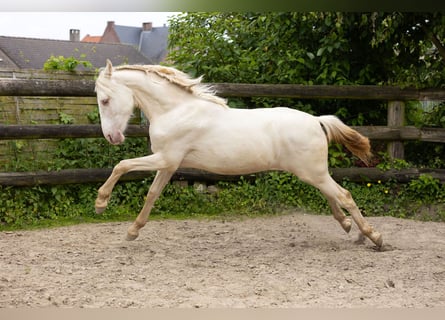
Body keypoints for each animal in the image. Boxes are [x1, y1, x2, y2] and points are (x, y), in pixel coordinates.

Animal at [94, 59, 382, 248]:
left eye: (105, 100)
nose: (112, 137)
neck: (176, 111)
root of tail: (316, 121)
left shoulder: (166, 158)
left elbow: (122, 165)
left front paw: (101, 203)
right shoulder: (169, 165)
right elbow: (152, 194)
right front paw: (132, 231)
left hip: (313, 172)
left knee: (344, 195)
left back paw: (374, 237)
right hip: (312, 172)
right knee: (332, 194)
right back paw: (349, 227)